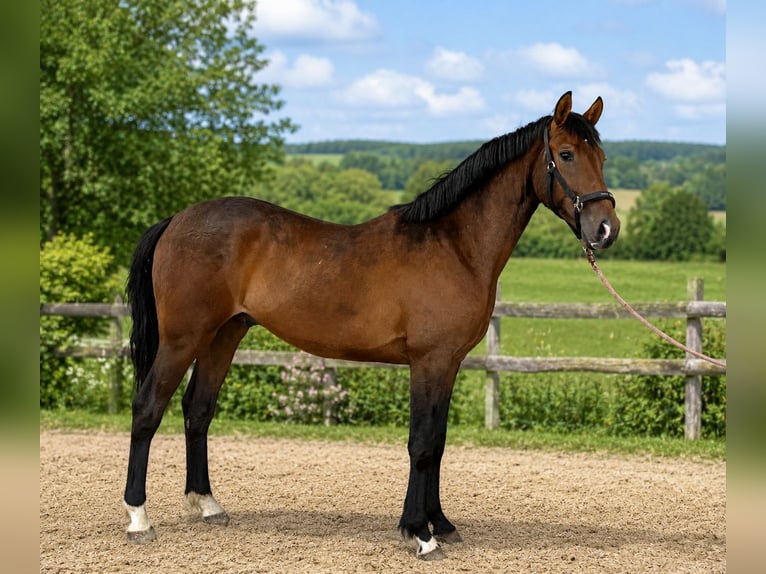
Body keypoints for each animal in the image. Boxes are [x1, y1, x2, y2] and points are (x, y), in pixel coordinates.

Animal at [122, 91, 619, 560]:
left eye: (602, 156)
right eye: (567, 154)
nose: (606, 229)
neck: (454, 245)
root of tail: (176, 221)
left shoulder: (449, 364)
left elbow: (438, 443)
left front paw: (441, 524)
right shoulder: (429, 361)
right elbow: (422, 444)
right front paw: (420, 534)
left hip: (225, 334)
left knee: (197, 409)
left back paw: (207, 505)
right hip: (183, 338)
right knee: (148, 408)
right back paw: (138, 518)